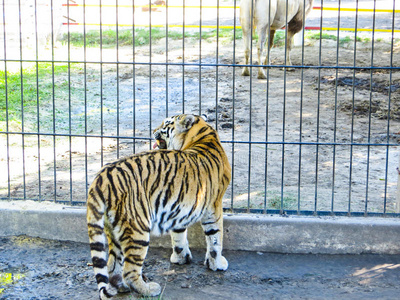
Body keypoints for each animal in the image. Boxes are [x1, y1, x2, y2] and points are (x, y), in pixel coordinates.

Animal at [86, 113, 231, 298]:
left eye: (165, 124)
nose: (153, 130)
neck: (204, 134)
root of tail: (102, 176)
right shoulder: (214, 206)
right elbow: (215, 237)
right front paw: (217, 264)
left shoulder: (180, 206)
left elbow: (179, 235)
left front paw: (181, 258)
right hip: (138, 228)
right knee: (130, 270)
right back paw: (149, 289)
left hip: (113, 229)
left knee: (112, 265)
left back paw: (121, 287)